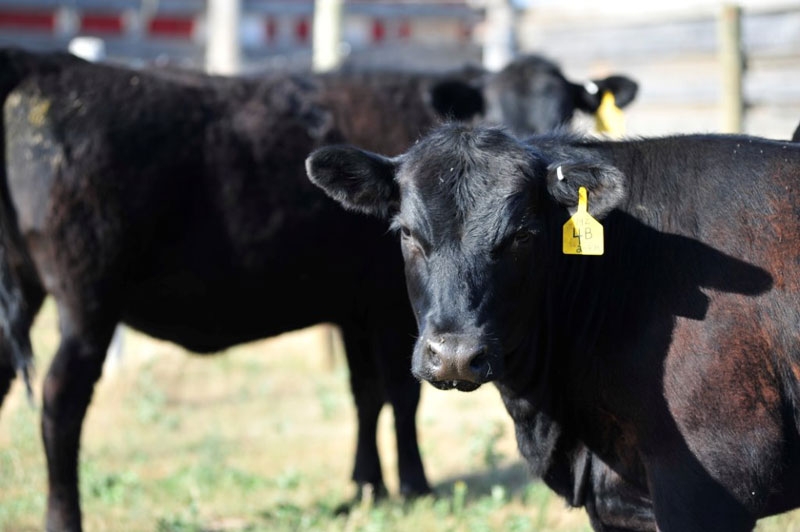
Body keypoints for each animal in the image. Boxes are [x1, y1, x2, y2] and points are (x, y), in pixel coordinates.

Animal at [0, 46, 636, 532]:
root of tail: (39, 64)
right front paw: (414, 485)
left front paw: (365, 486)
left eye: (567, 115)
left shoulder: (353, 305)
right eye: (497, 114)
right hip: (86, 301)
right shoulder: (391, 308)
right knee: (59, 400)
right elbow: (401, 394)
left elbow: (365, 394)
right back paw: (63, 518)